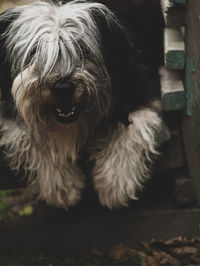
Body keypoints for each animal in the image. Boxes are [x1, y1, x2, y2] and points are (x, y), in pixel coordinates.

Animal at [0, 0, 162, 210]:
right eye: (34, 51)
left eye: (83, 49)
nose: (63, 88)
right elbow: (34, 137)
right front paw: (62, 185)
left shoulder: (140, 90)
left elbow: (129, 130)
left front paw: (114, 182)